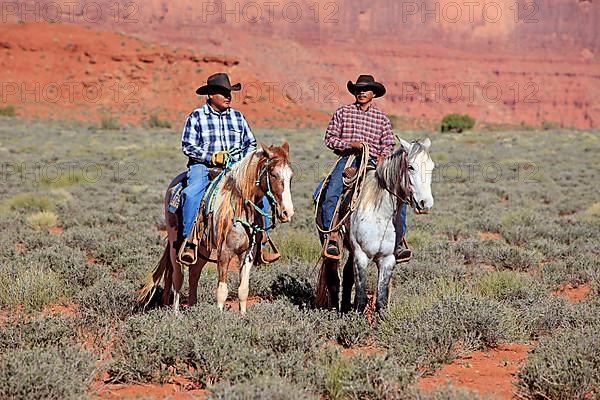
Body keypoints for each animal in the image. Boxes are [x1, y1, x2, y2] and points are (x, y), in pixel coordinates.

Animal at [137, 142, 296, 314]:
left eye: (291, 176)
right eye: (273, 174)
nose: (287, 212)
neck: (239, 208)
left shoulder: (248, 253)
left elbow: (243, 290)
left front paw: (243, 316)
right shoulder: (224, 252)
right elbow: (222, 291)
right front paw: (218, 317)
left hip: (201, 248)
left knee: (194, 274)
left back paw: (193, 307)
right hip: (175, 244)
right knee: (177, 276)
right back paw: (176, 313)